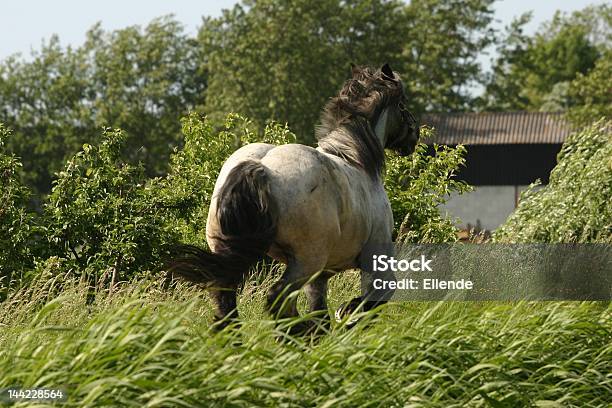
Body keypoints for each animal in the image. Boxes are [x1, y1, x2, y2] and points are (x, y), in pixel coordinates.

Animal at [172, 63, 420, 332]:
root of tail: (261, 168)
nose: (415, 136)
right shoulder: (374, 261)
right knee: (278, 299)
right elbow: (377, 297)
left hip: (236, 254)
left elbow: (320, 312)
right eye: (402, 105)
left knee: (226, 302)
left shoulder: (320, 277)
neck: (356, 159)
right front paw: (348, 314)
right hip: (305, 262)